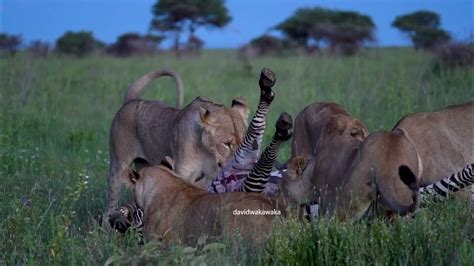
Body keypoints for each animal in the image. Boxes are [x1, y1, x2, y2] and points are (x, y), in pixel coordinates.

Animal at [105, 69, 250, 221]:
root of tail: (132, 100)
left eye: (242, 142)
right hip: (118, 167)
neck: (207, 150)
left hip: (143, 165)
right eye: (226, 144)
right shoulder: (183, 173)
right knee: (109, 206)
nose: (241, 165)